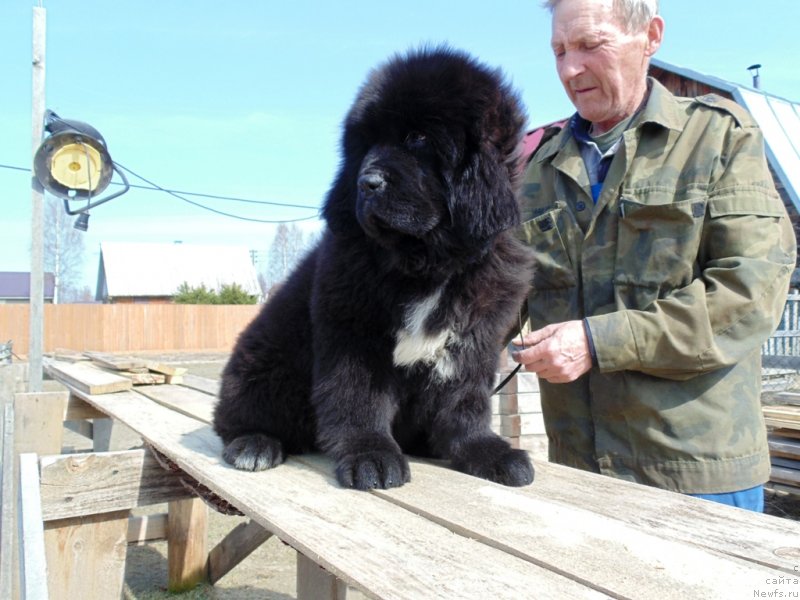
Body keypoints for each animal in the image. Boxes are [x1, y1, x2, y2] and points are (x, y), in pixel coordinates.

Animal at [216, 45, 536, 488]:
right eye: (365, 145)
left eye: (417, 138)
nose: (365, 183)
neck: (425, 262)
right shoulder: (354, 333)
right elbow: (359, 398)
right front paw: (370, 456)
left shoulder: (473, 338)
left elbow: (465, 403)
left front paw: (486, 451)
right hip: (264, 360)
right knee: (236, 418)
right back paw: (254, 443)